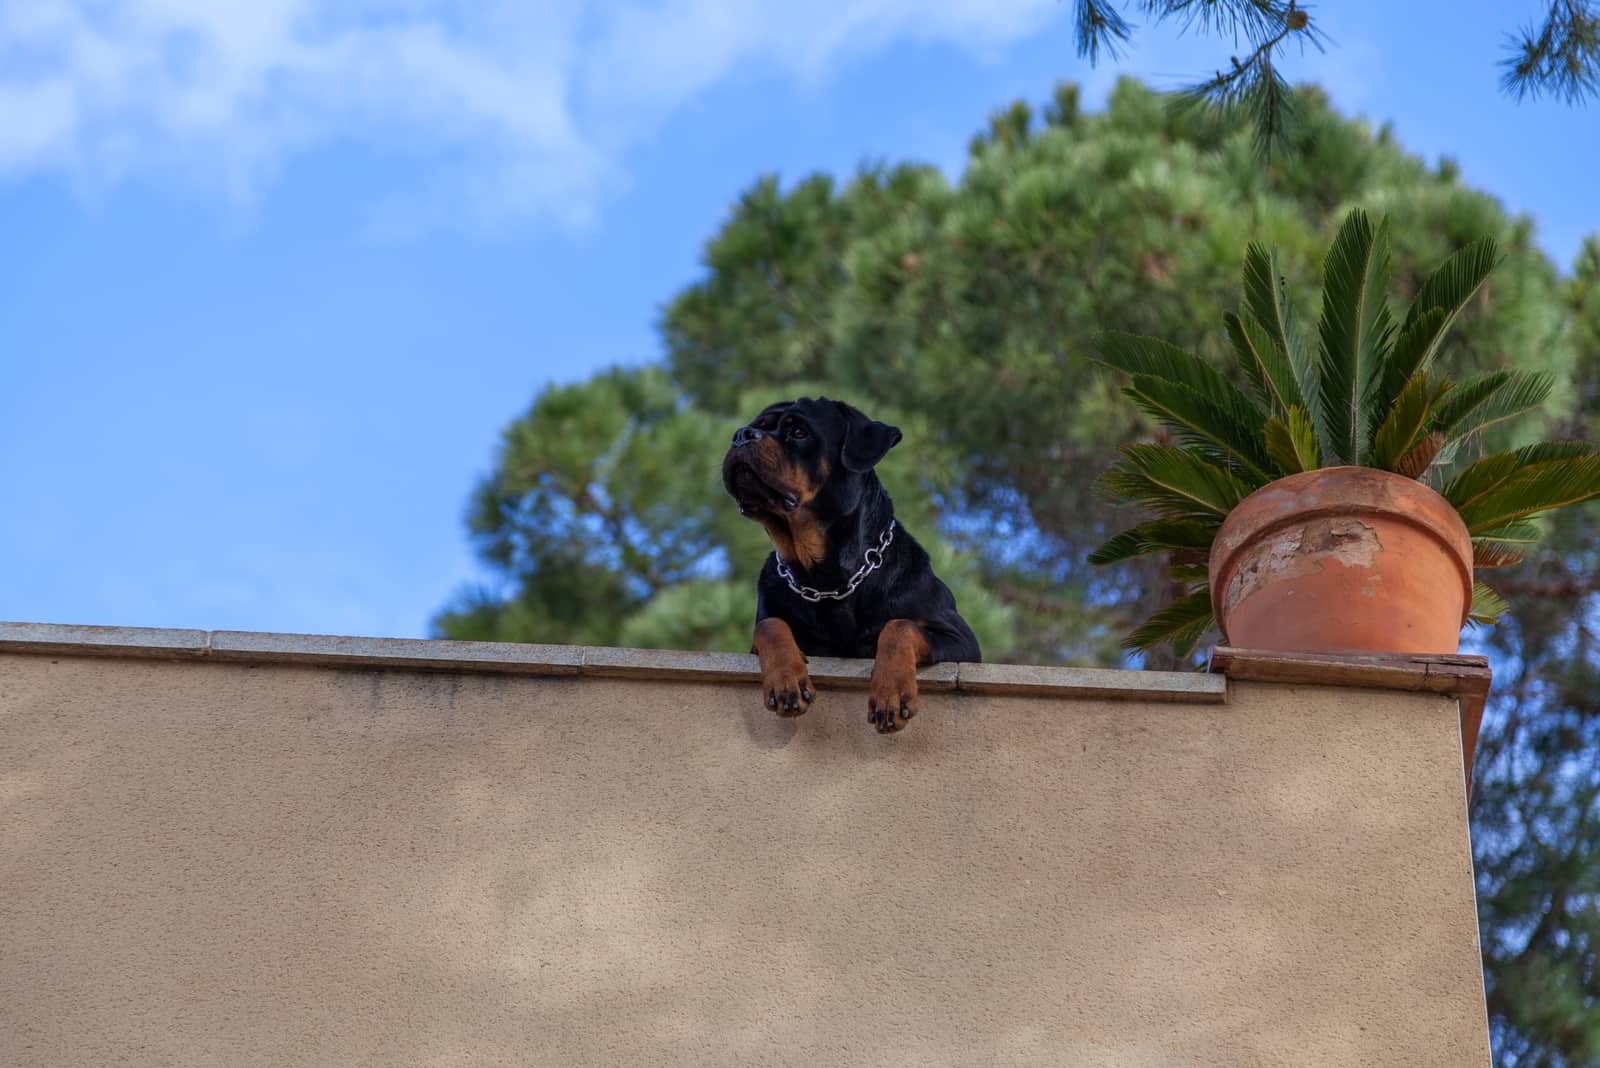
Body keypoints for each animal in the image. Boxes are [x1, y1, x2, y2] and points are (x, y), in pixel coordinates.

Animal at [723, 396, 972, 729]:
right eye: (758, 426)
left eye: (799, 432)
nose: (741, 435)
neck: (824, 577)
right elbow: (769, 625)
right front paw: (786, 681)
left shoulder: (961, 641)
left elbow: (900, 626)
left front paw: (891, 693)